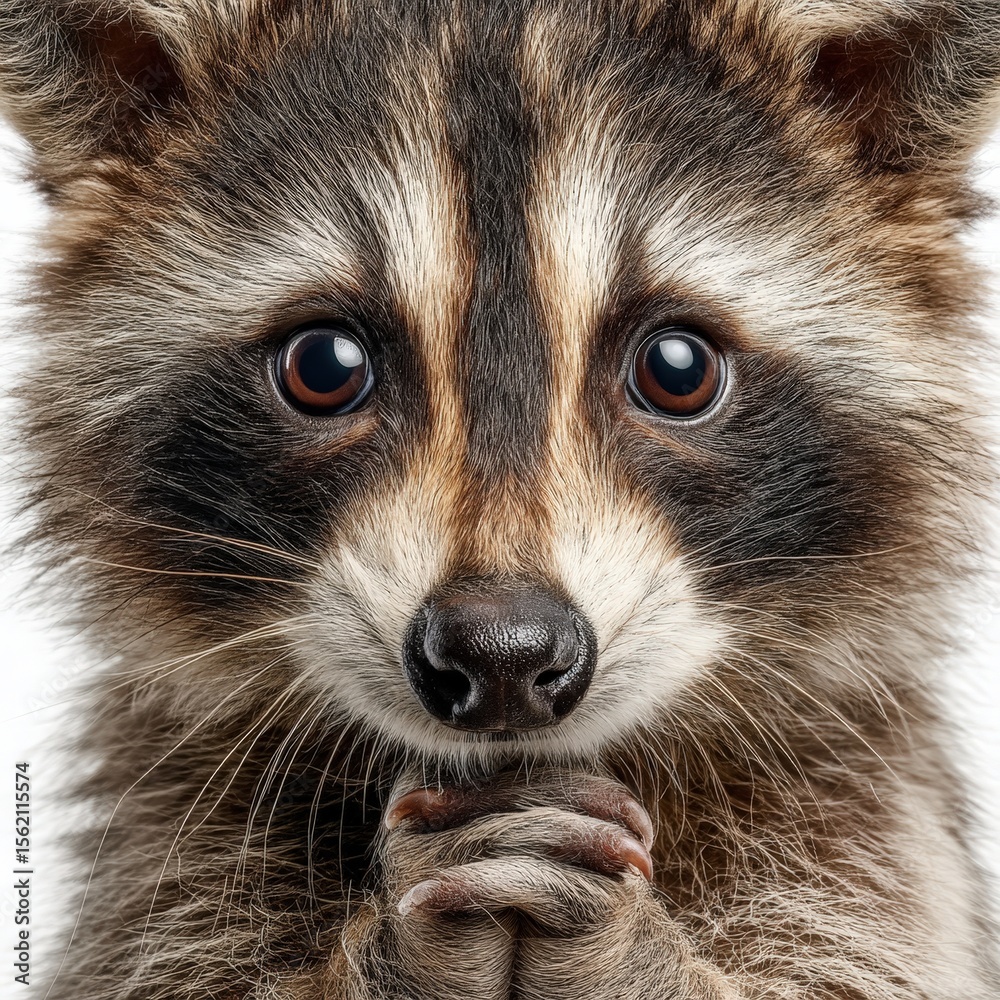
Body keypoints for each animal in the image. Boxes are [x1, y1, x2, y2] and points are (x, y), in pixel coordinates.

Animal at [2, 0, 1000, 997]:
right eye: (325, 365)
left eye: (678, 370)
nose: (504, 653)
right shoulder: (163, 829)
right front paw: (403, 944)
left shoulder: (867, 810)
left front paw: (629, 951)